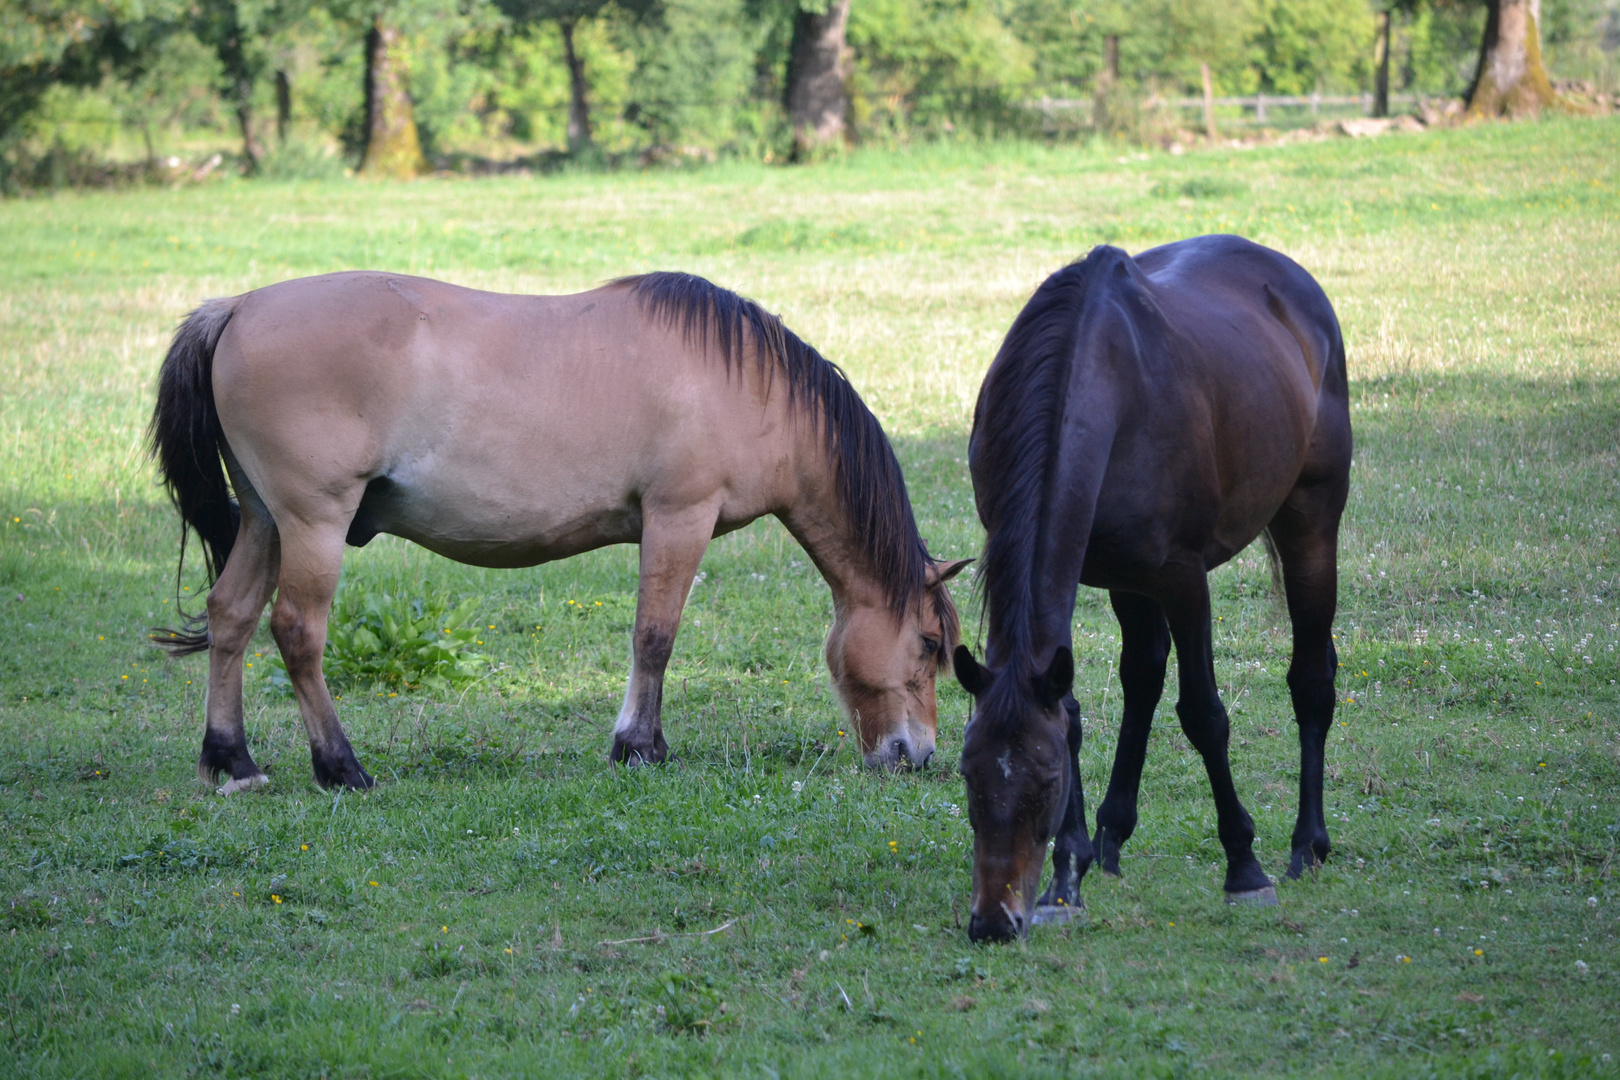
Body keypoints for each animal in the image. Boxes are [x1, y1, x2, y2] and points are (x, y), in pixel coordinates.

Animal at [149, 270, 959, 793]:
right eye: (927, 645)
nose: (916, 755)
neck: (750, 386)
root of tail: (237, 308)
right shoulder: (679, 518)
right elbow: (654, 637)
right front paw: (639, 747)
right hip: (313, 523)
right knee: (297, 632)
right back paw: (340, 768)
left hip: (265, 522)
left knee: (231, 617)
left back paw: (233, 762)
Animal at [946, 234, 1354, 939]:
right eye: (969, 778)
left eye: (1045, 783)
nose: (994, 922)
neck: (1104, 382)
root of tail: (1294, 281)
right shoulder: (1093, 576)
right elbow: (1073, 711)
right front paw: (1067, 878)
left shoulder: (1183, 580)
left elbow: (1204, 715)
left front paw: (1245, 868)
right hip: (1127, 581)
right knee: (1143, 676)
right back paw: (1110, 840)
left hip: (1310, 523)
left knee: (1310, 679)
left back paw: (1307, 846)